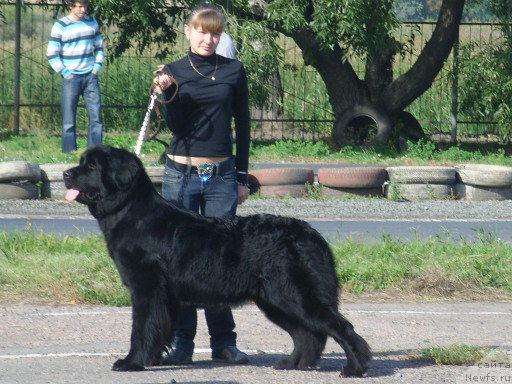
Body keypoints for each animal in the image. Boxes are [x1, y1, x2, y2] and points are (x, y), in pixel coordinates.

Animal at [64, 146, 370, 376]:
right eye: (81, 163)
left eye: (92, 166)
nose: (66, 173)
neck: (132, 213)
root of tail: (312, 234)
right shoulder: (164, 296)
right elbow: (160, 328)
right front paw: (153, 358)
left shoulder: (146, 288)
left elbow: (141, 327)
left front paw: (131, 362)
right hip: (276, 299)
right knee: (308, 334)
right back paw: (292, 364)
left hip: (293, 294)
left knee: (338, 327)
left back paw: (355, 368)